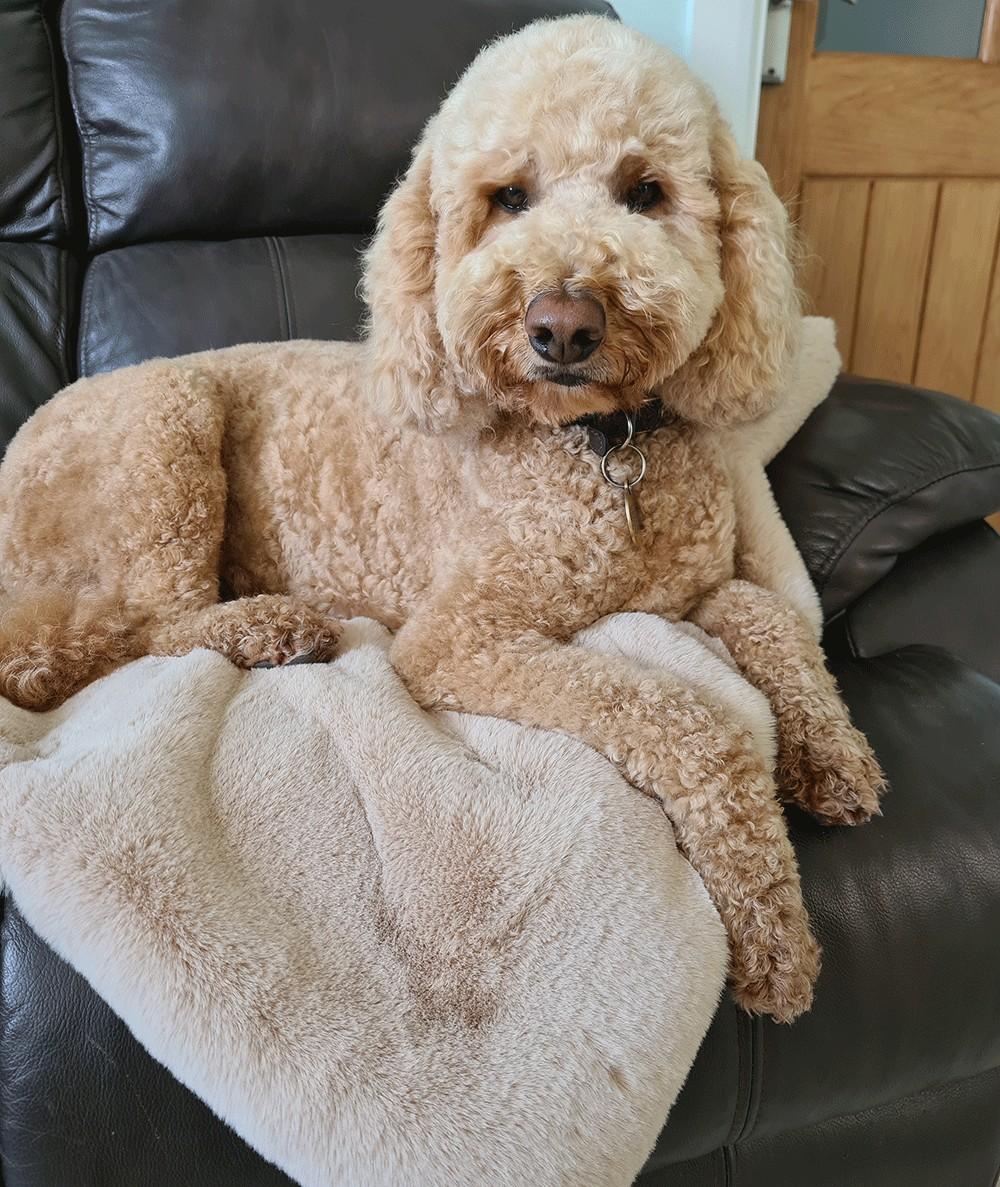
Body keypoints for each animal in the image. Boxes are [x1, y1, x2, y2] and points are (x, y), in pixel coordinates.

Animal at [0, 16, 878, 1020]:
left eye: (645, 192)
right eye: (508, 197)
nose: (563, 324)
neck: (599, 448)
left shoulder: (694, 591)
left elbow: (771, 617)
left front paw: (833, 752)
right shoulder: (460, 639)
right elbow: (690, 718)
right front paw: (775, 937)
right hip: (167, 422)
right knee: (148, 625)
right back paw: (270, 627)